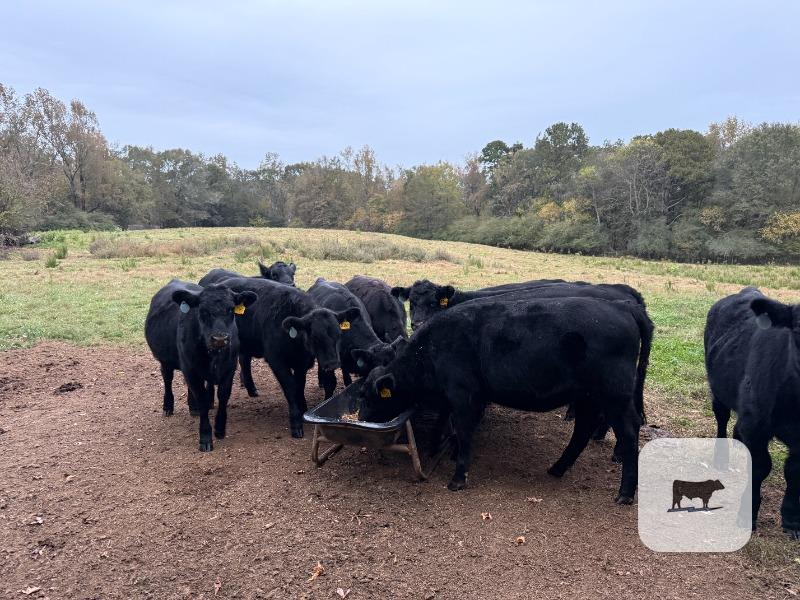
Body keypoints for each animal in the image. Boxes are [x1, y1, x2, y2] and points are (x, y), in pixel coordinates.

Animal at [144, 280, 257, 451]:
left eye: (231, 309)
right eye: (203, 311)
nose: (220, 339)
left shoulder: (229, 368)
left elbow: (223, 396)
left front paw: (220, 429)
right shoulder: (191, 369)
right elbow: (202, 399)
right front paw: (205, 437)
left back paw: (194, 407)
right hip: (167, 361)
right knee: (168, 379)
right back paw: (168, 406)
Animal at [209, 276, 359, 438]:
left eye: (339, 334)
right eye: (315, 337)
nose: (332, 363)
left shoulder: (302, 362)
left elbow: (299, 385)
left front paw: (303, 407)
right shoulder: (277, 361)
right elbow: (290, 387)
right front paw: (296, 423)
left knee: (244, 360)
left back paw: (252, 389)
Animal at [357, 295, 650, 504]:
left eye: (371, 398)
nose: (360, 419)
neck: (431, 349)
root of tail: (623, 306)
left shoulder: (464, 395)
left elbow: (464, 432)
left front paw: (458, 477)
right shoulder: (456, 397)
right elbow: (446, 422)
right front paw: (440, 449)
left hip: (614, 395)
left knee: (628, 432)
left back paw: (625, 493)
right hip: (588, 396)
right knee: (582, 430)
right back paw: (557, 468)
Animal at [705, 286, 800, 538]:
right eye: (798, 331)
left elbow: (794, 470)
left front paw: (792, 520)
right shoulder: (756, 427)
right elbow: (760, 467)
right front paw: (747, 515)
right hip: (719, 391)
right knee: (722, 418)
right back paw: (721, 458)